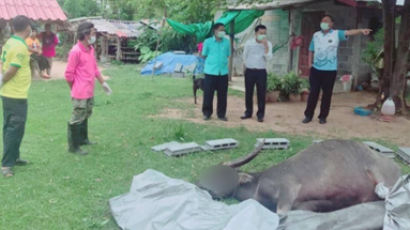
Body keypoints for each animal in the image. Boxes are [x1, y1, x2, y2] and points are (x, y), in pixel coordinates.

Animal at [199, 140, 400, 214]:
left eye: (222, 175)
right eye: (207, 174)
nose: (203, 187)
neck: (257, 186)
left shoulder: (288, 189)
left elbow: (282, 211)